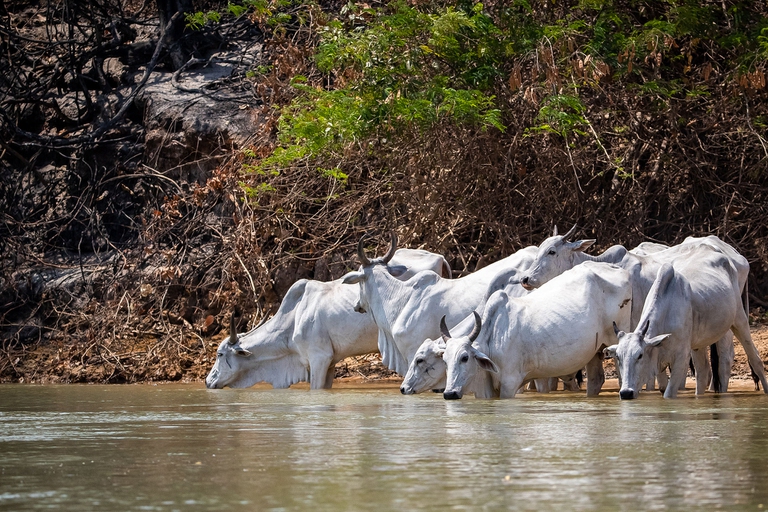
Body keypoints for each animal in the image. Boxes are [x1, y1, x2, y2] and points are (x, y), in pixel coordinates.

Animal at [205, 248, 451, 390]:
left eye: (220, 354)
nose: (208, 381)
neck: (293, 320)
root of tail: (439, 258)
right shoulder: (331, 362)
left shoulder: (319, 358)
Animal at [440, 261, 632, 399]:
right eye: (444, 360)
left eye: (465, 357)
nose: (449, 394)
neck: (492, 336)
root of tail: (617, 268)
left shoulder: (510, 383)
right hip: (594, 349)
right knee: (595, 380)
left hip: (617, 338)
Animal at [604, 243, 768, 399]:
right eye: (618, 356)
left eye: (640, 355)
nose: (626, 393)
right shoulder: (657, 361)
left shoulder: (681, 358)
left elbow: (669, 394)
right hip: (699, 342)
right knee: (703, 372)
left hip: (739, 319)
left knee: (753, 359)